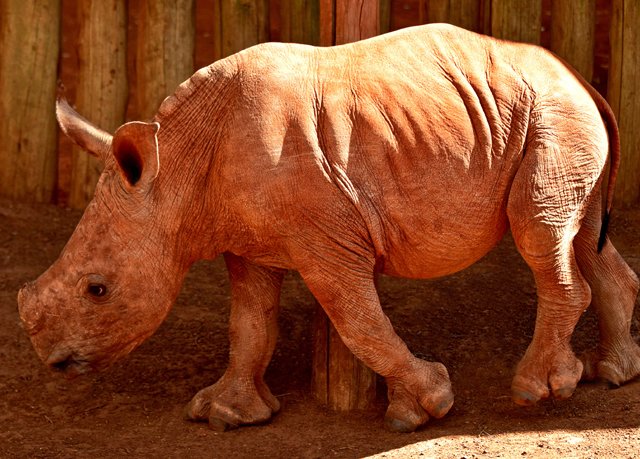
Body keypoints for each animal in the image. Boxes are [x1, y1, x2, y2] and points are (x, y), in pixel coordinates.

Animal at [18, 24, 640, 432]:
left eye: (97, 289)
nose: (50, 359)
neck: (175, 170)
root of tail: (581, 77)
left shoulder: (330, 243)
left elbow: (358, 322)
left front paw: (425, 409)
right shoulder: (248, 241)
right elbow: (249, 323)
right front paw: (225, 416)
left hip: (553, 115)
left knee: (540, 232)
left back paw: (536, 390)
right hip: (552, 115)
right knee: (581, 234)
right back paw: (614, 374)